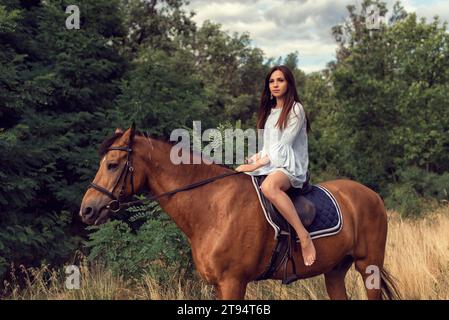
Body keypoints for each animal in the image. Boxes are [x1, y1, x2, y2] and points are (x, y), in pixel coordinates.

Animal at [78, 127, 400, 300]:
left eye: (113, 164)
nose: (87, 209)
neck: (213, 207)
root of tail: (371, 195)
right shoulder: (219, 285)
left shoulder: (234, 282)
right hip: (334, 271)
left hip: (368, 266)